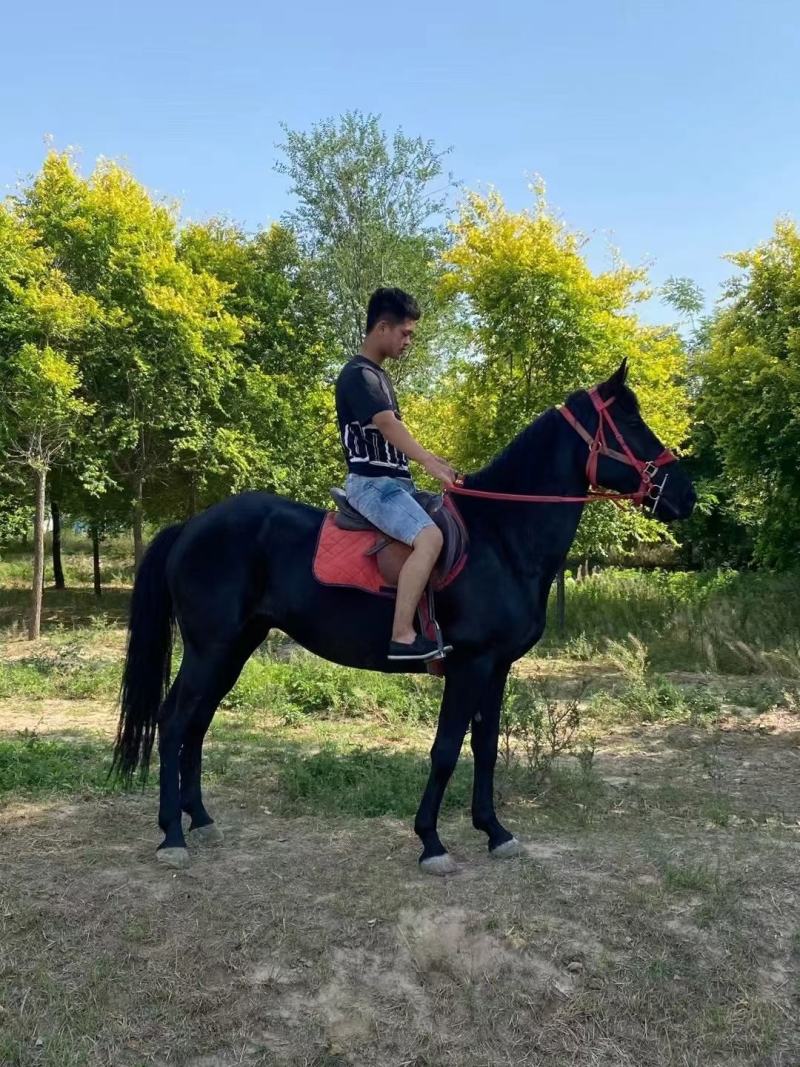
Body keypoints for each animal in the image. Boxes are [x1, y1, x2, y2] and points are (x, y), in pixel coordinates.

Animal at [112, 360, 696, 872]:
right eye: (631, 422)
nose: (685, 495)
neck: (501, 535)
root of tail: (191, 525)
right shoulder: (470, 665)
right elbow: (445, 751)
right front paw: (431, 842)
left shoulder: (497, 667)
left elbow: (485, 747)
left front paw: (494, 831)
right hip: (211, 648)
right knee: (174, 720)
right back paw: (172, 835)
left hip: (233, 648)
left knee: (197, 723)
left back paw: (201, 819)